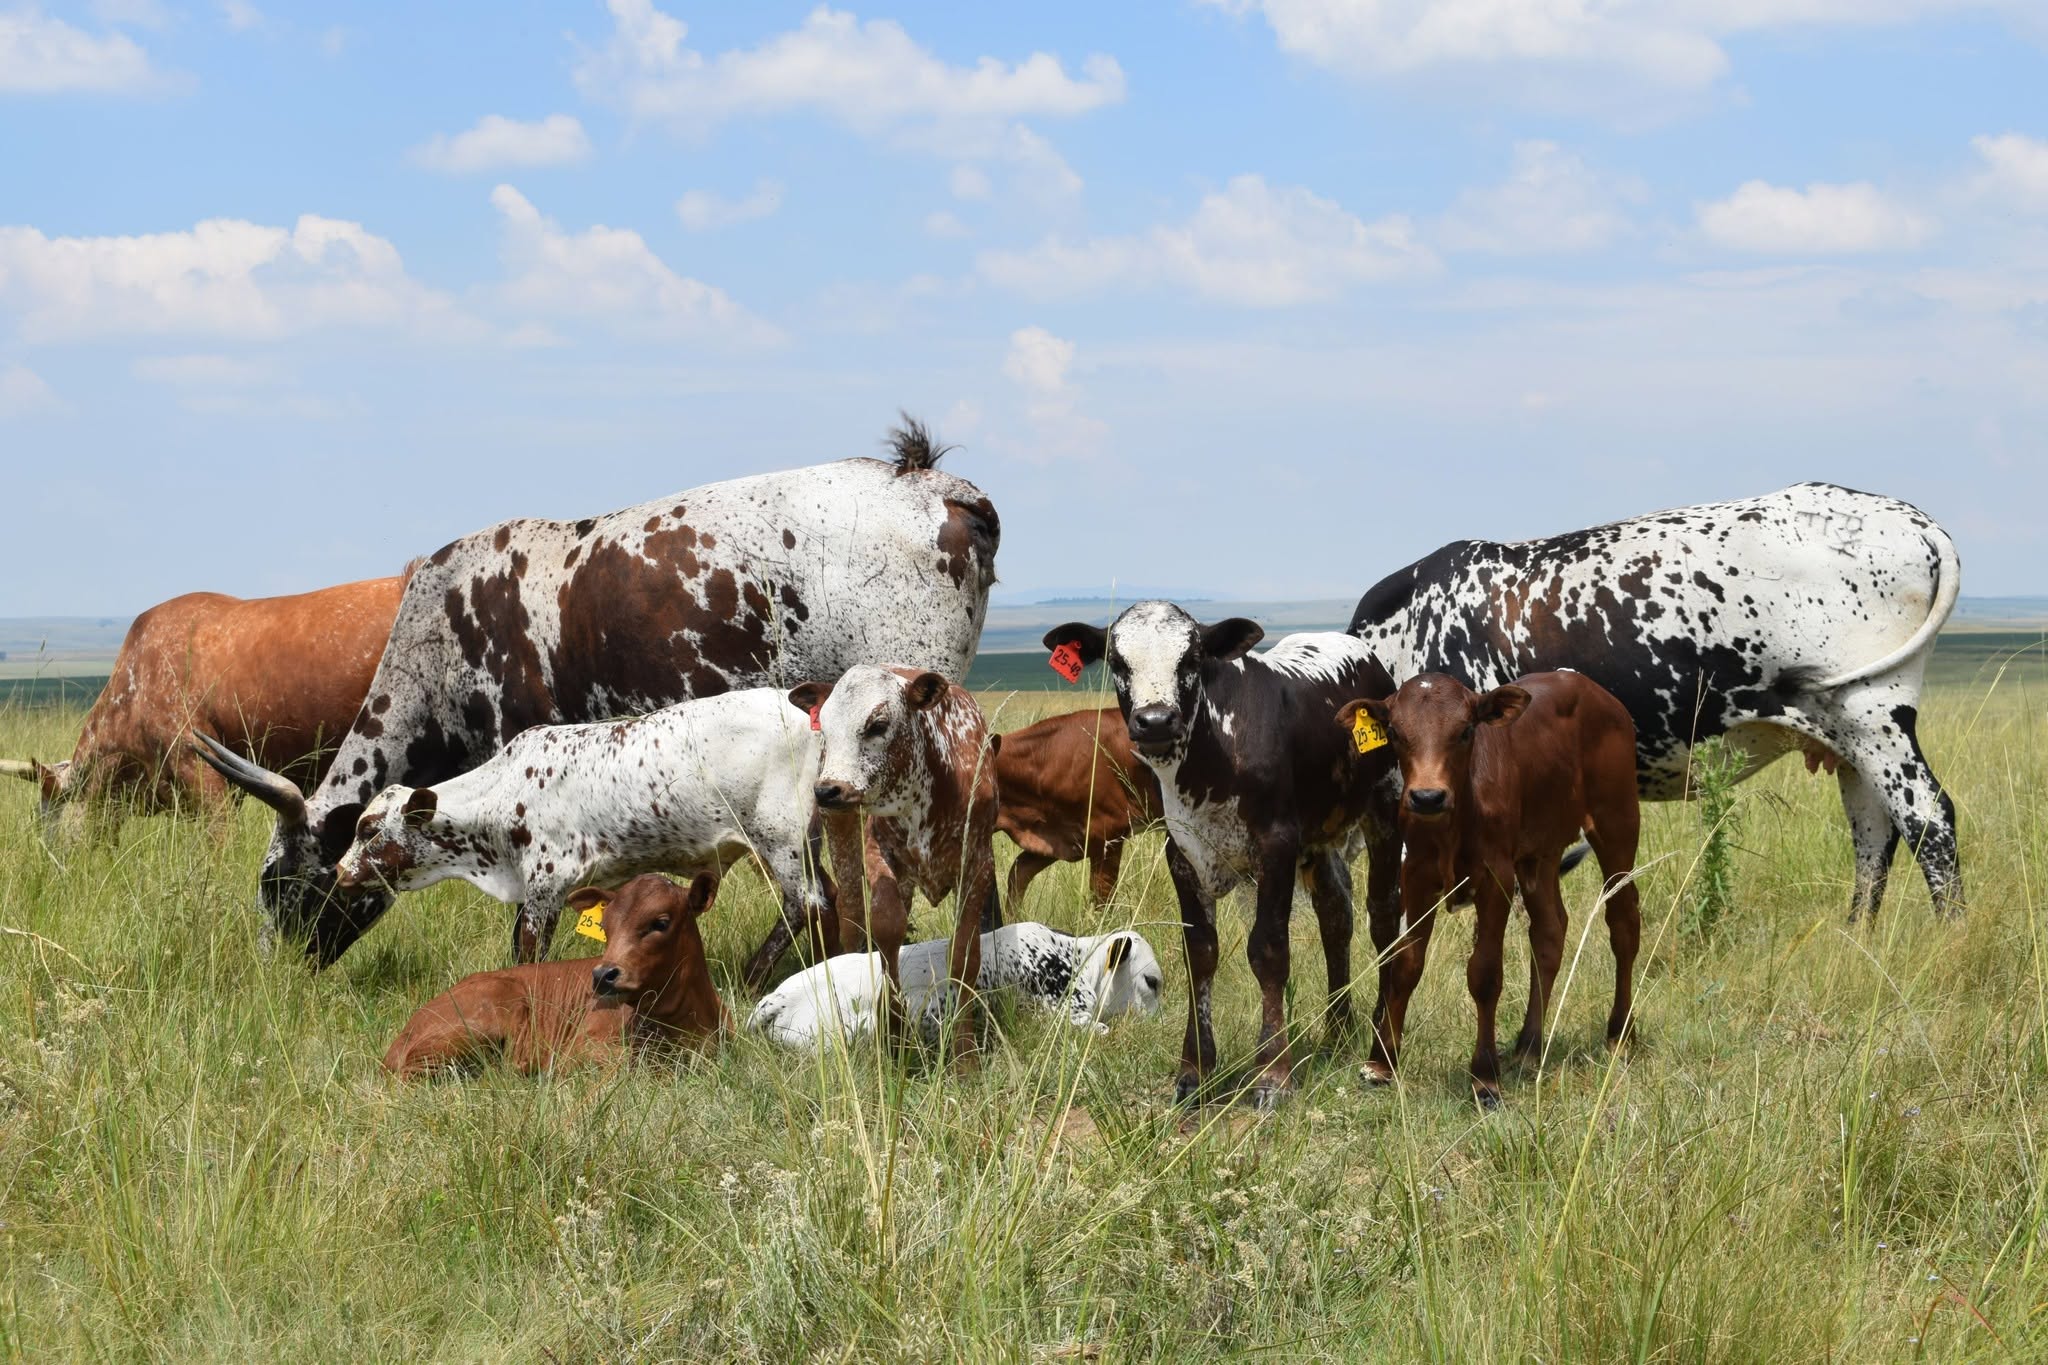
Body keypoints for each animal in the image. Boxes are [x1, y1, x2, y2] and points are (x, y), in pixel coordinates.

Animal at [333, 688, 831, 988]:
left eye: (368, 830)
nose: (340, 872)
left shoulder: (546, 886)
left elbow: (529, 952)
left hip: (779, 839)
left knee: (804, 903)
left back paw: (751, 976)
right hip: (805, 842)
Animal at [785, 665, 1002, 1063]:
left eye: (878, 725)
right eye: (825, 727)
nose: (827, 790)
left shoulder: (978, 864)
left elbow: (965, 953)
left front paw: (965, 1055)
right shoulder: (878, 852)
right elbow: (887, 929)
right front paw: (894, 1032)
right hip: (843, 834)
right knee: (852, 910)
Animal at [1043, 604, 1400, 1109]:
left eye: (1191, 658)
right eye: (1117, 661)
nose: (1155, 720)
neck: (1212, 756)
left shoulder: (1276, 847)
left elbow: (1268, 951)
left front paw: (1273, 1074)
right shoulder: (1183, 855)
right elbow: (1200, 955)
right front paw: (1194, 1071)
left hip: (1385, 806)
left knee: (1384, 918)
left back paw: (1381, 1046)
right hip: (1319, 842)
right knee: (1336, 917)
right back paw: (1336, 1031)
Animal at [1338, 672, 1642, 1108]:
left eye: (1466, 731)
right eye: (1394, 732)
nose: (1427, 797)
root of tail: (1590, 688)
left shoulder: (1495, 879)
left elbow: (1484, 973)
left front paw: (1485, 1077)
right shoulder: (1416, 876)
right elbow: (1406, 964)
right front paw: (1381, 1062)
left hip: (1617, 823)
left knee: (1623, 923)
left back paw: (1619, 1033)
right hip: (1540, 852)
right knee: (1549, 932)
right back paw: (1529, 1046)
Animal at [1348, 483, 1961, 922]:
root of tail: (1914, 522)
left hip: (1875, 719)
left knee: (1929, 821)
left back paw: (1950, 936)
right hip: (1850, 741)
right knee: (1874, 835)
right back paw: (1856, 935)